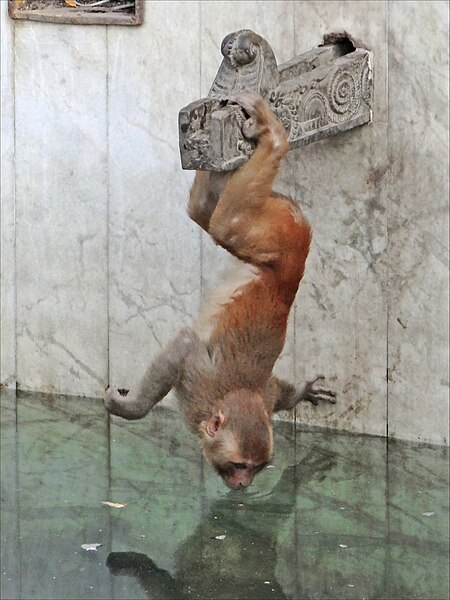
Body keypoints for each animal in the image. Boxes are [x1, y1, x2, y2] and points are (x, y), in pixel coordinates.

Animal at [105, 91, 336, 490]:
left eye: (256, 466)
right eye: (238, 464)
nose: (243, 485)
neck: (222, 401)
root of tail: (291, 271)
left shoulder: (265, 396)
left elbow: (279, 392)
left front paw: (303, 392)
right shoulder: (198, 382)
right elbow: (183, 347)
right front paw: (132, 408)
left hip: (275, 235)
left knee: (211, 217)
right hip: (276, 235)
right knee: (224, 223)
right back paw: (271, 139)